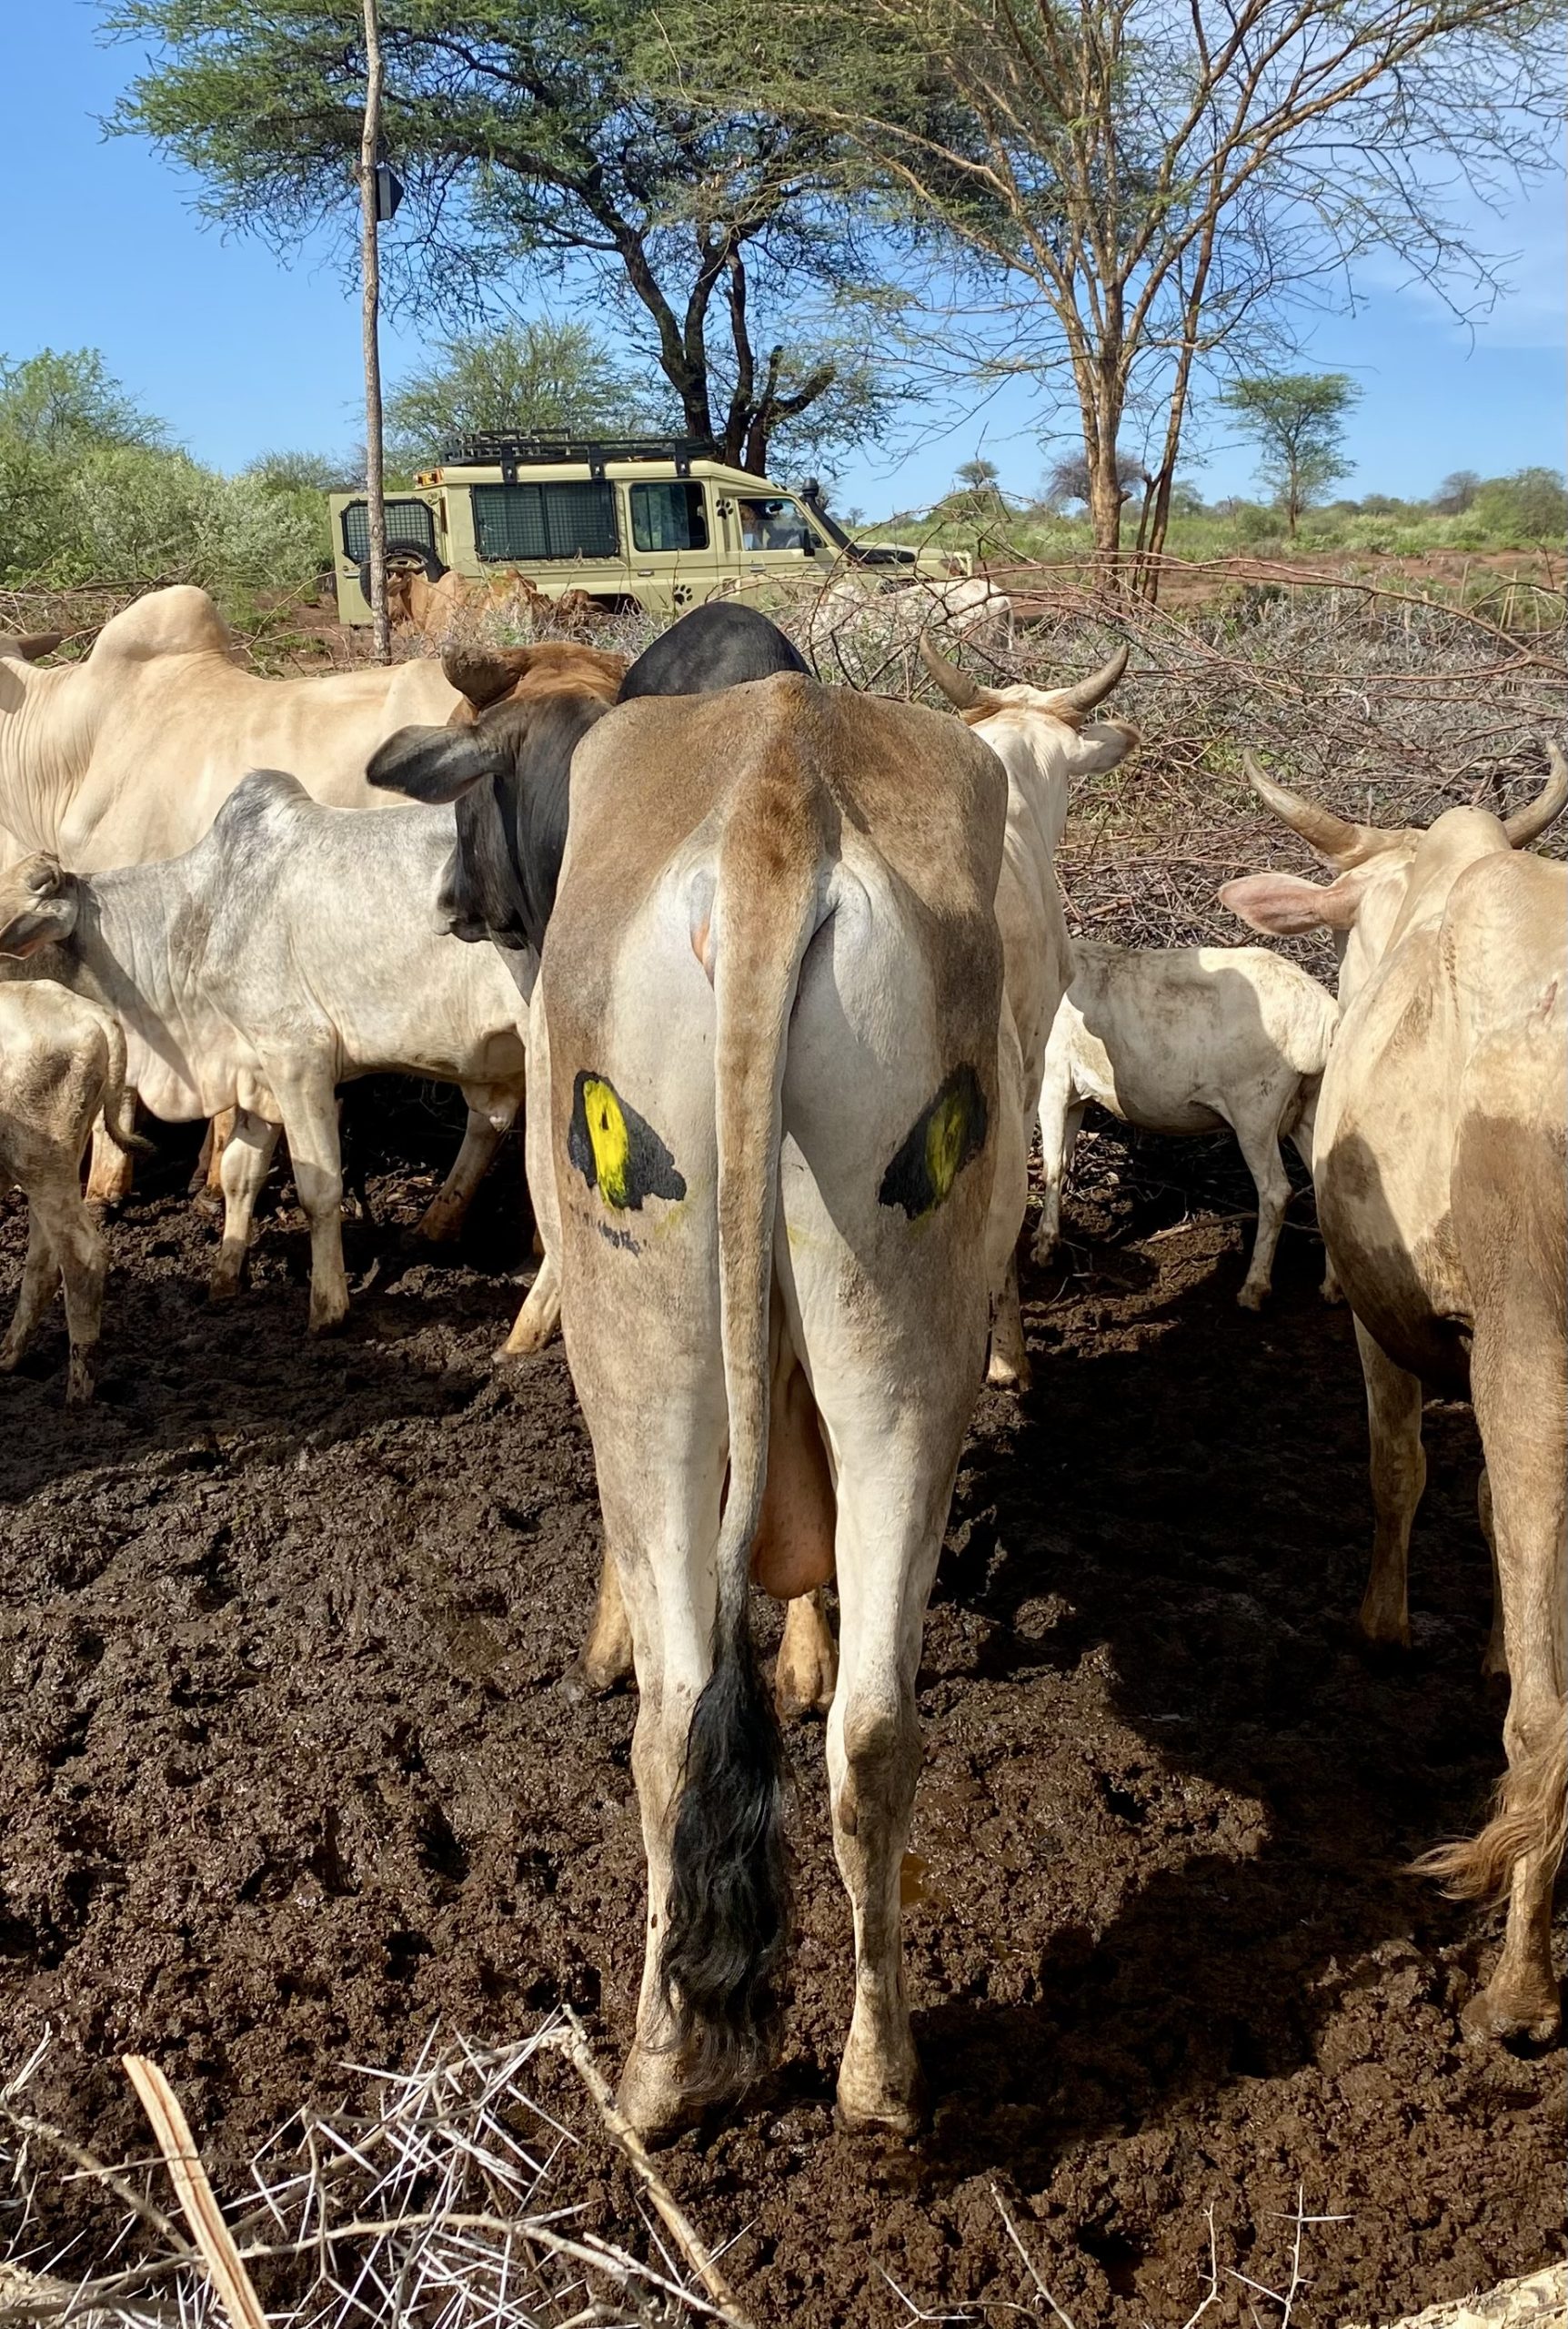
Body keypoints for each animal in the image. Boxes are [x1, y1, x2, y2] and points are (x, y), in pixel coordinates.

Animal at [0, 983, 145, 1397]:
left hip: (40, 1159)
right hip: (51, 1163)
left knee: (83, 1256)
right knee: (45, 1260)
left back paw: (77, 1397)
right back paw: (7, 1359)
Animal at [1034, 945, 1342, 1313]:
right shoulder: (1076, 1093)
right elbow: (1065, 1162)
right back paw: (1332, 1288)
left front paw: (1044, 1248)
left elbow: (1052, 1167)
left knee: (1275, 1192)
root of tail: (1326, 1016)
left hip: (1256, 1105)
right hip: (1311, 1106)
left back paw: (1253, 1290)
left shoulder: (1053, 1079)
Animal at [1221, 745, 1565, 2040]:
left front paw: (1382, 1627)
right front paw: (1486, 1648)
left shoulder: (1393, 1318)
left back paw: (1517, 1989)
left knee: (1549, 1725)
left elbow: (1397, 1471)